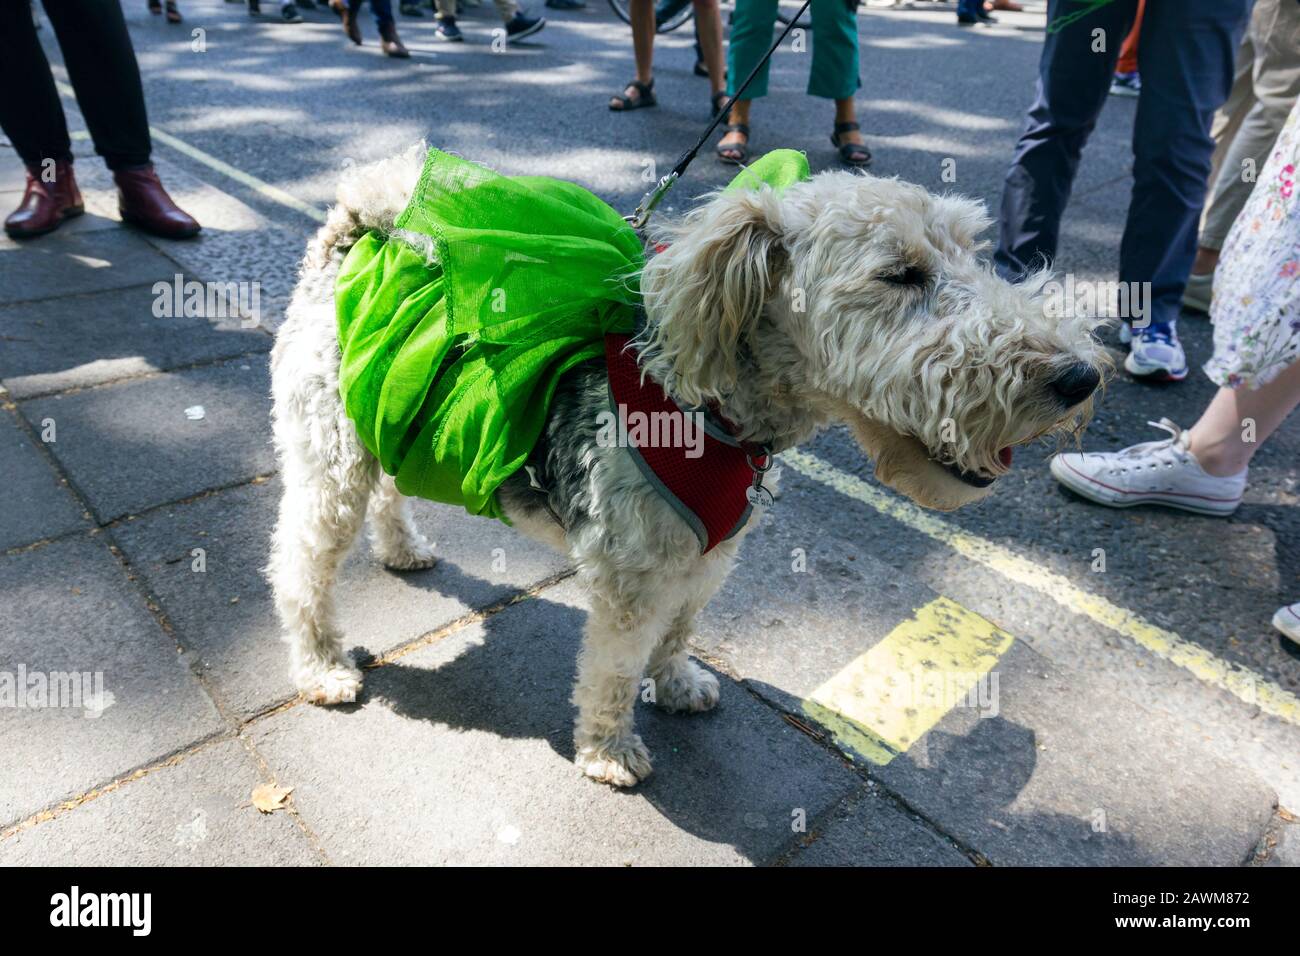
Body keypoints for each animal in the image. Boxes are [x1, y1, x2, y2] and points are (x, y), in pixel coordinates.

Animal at [271, 147, 1107, 785]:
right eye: (900, 273)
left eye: (972, 251)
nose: (1080, 378)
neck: (715, 411)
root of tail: (346, 238)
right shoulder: (631, 580)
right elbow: (612, 670)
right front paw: (610, 752)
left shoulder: (709, 555)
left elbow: (679, 632)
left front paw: (674, 684)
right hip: (328, 466)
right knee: (297, 570)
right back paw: (322, 667)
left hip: (379, 432)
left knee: (388, 496)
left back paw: (404, 550)